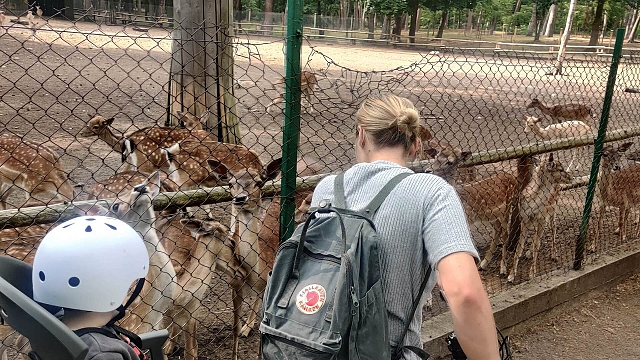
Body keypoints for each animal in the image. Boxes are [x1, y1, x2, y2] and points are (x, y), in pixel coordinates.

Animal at [206, 158, 282, 360]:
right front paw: (241, 332)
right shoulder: (235, 286)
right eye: (230, 183)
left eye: (259, 182)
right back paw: (246, 328)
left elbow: (264, 329)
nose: (240, 198)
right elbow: (234, 327)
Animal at [508, 153, 572, 282]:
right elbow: (519, 247)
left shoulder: (542, 218)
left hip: (553, 210)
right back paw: (528, 253)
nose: (570, 177)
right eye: (560, 169)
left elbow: (537, 245)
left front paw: (532, 274)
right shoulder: (524, 219)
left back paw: (554, 255)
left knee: (553, 229)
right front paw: (511, 275)